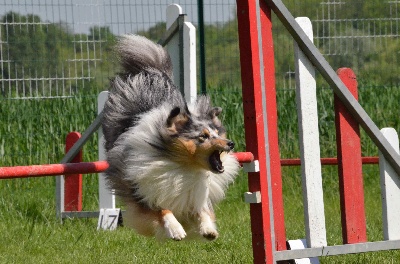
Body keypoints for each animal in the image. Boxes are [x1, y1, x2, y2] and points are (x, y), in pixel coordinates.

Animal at [101, 34, 239, 240]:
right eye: (203, 136)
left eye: (216, 133)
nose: (230, 143)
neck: (183, 166)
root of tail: (151, 72)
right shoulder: (142, 191)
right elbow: (162, 210)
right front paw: (176, 230)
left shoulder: (194, 191)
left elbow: (202, 209)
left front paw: (208, 229)